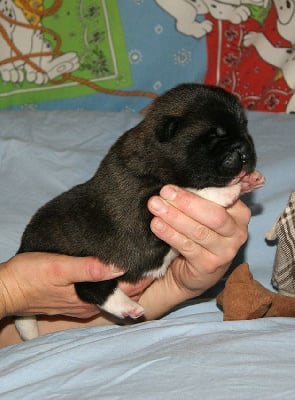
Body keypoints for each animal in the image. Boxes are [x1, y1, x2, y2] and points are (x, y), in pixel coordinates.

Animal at [14, 83, 266, 340]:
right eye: (215, 135)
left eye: (245, 127)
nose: (245, 150)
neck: (157, 157)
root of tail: (23, 248)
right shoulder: (144, 211)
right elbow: (190, 191)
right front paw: (230, 190)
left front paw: (248, 181)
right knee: (89, 288)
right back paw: (126, 306)